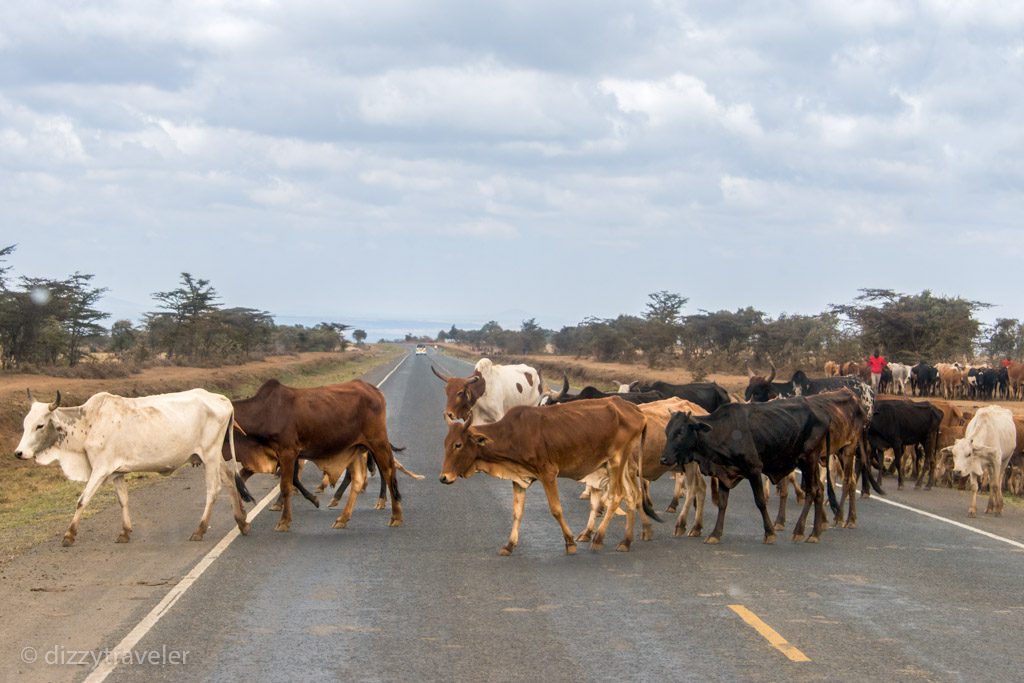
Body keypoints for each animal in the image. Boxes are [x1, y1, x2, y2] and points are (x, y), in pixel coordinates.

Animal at [15, 389, 249, 544]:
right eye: (25, 424)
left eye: (40, 425)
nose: (19, 453)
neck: (89, 422)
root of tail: (222, 399)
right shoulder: (116, 472)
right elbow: (123, 500)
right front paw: (125, 531)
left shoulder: (100, 469)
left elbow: (82, 500)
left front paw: (69, 535)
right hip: (214, 456)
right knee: (230, 480)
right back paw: (241, 521)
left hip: (210, 455)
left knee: (213, 489)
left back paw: (200, 530)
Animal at [230, 382, 405, 532]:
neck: (265, 412)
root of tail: (373, 390)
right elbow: (240, 481)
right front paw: (242, 519)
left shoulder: (288, 453)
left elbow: (286, 485)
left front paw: (284, 521)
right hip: (356, 448)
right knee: (358, 478)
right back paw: (342, 517)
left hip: (377, 442)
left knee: (388, 472)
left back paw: (395, 515)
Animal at [438, 397, 647, 557]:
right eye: (445, 443)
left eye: (458, 445)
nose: (444, 478)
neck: (512, 435)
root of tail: (634, 409)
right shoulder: (518, 479)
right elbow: (517, 513)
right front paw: (509, 545)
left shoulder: (548, 474)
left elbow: (556, 509)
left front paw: (570, 543)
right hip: (622, 465)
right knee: (632, 496)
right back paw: (626, 541)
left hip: (616, 462)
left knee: (616, 496)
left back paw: (599, 539)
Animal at [659, 395, 835, 544]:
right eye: (667, 431)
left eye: (680, 432)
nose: (664, 459)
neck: (722, 431)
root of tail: (824, 414)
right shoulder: (724, 473)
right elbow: (722, 504)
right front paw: (715, 534)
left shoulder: (754, 469)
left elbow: (760, 501)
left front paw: (769, 533)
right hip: (810, 463)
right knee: (819, 490)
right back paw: (815, 533)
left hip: (809, 459)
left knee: (812, 491)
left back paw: (800, 531)